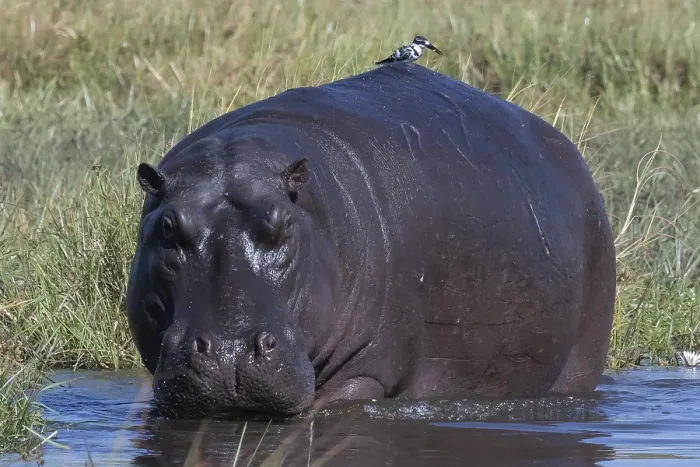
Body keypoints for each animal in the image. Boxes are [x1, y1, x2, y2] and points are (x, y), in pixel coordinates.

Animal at [126, 62, 616, 420]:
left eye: (283, 224)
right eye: (168, 227)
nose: (229, 351)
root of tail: (573, 157)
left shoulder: (367, 372)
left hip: (582, 356)